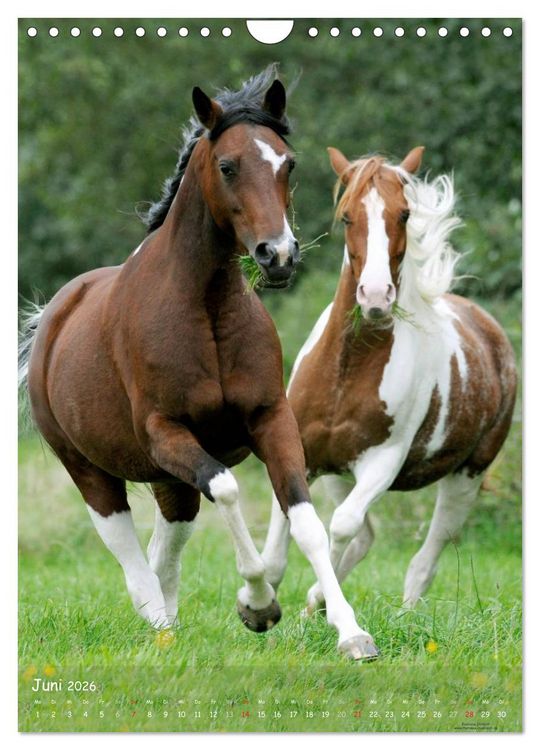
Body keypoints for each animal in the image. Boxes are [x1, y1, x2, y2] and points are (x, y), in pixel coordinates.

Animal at [19, 68, 375, 660]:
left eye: (288, 163)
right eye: (228, 166)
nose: (279, 256)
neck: (203, 307)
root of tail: (50, 319)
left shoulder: (271, 420)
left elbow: (306, 522)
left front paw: (351, 633)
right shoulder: (167, 432)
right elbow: (228, 489)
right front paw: (258, 604)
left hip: (171, 481)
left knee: (166, 545)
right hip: (92, 471)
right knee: (129, 553)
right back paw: (159, 625)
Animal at [261, 145, 517, 653]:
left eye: (404, 213)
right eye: (346, 216)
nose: (376, 297)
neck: (347, 370)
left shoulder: (384, 462)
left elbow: (340, 526)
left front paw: (337, 619)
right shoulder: (302, 454)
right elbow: (291, 540)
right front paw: (266, 605)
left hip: (466, 478)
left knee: (424, 558)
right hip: (340, 474)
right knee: (365, 538)